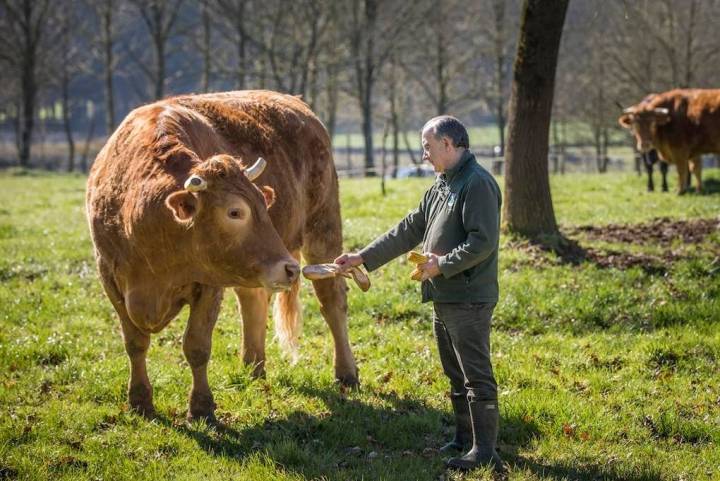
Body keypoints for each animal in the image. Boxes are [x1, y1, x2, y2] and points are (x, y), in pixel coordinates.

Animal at [87, 90, 358, 420]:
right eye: (235, 212)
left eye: (263, 204)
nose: (290, 269)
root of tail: (297, 104)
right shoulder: (110, 278)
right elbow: (135, 343)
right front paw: (139, 401)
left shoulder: (209, 285)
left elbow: (196, 346)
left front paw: (202, 407)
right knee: (253, 302)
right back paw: (253, 369)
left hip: (323, 227)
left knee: (332, 301)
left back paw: (346, 373)